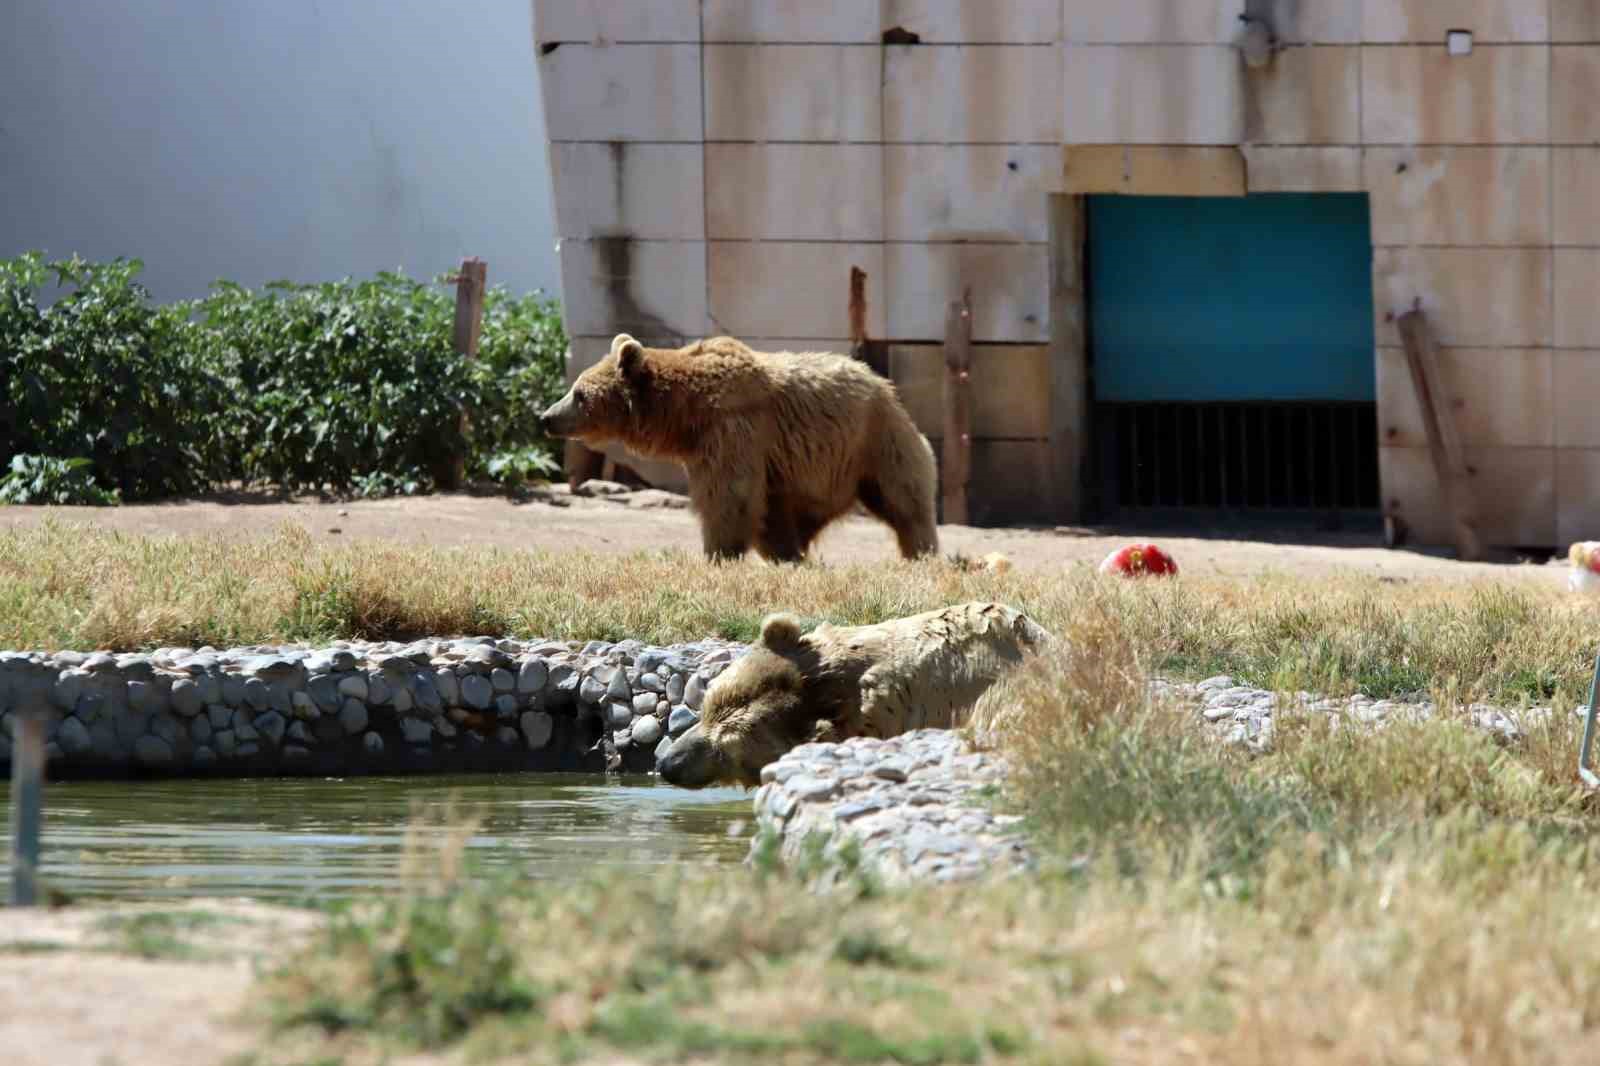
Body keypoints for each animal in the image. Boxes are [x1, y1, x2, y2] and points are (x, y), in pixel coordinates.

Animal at [537, 332, 934, 563]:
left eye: (579, 393)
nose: (546, 417)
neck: (686, 412)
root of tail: (880, 380)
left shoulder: (732, 431)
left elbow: (729, 496)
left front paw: (718, 554)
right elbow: (757, 507)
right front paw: (772, 554)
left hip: (874, 440)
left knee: (904, 499)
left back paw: (920, 552)